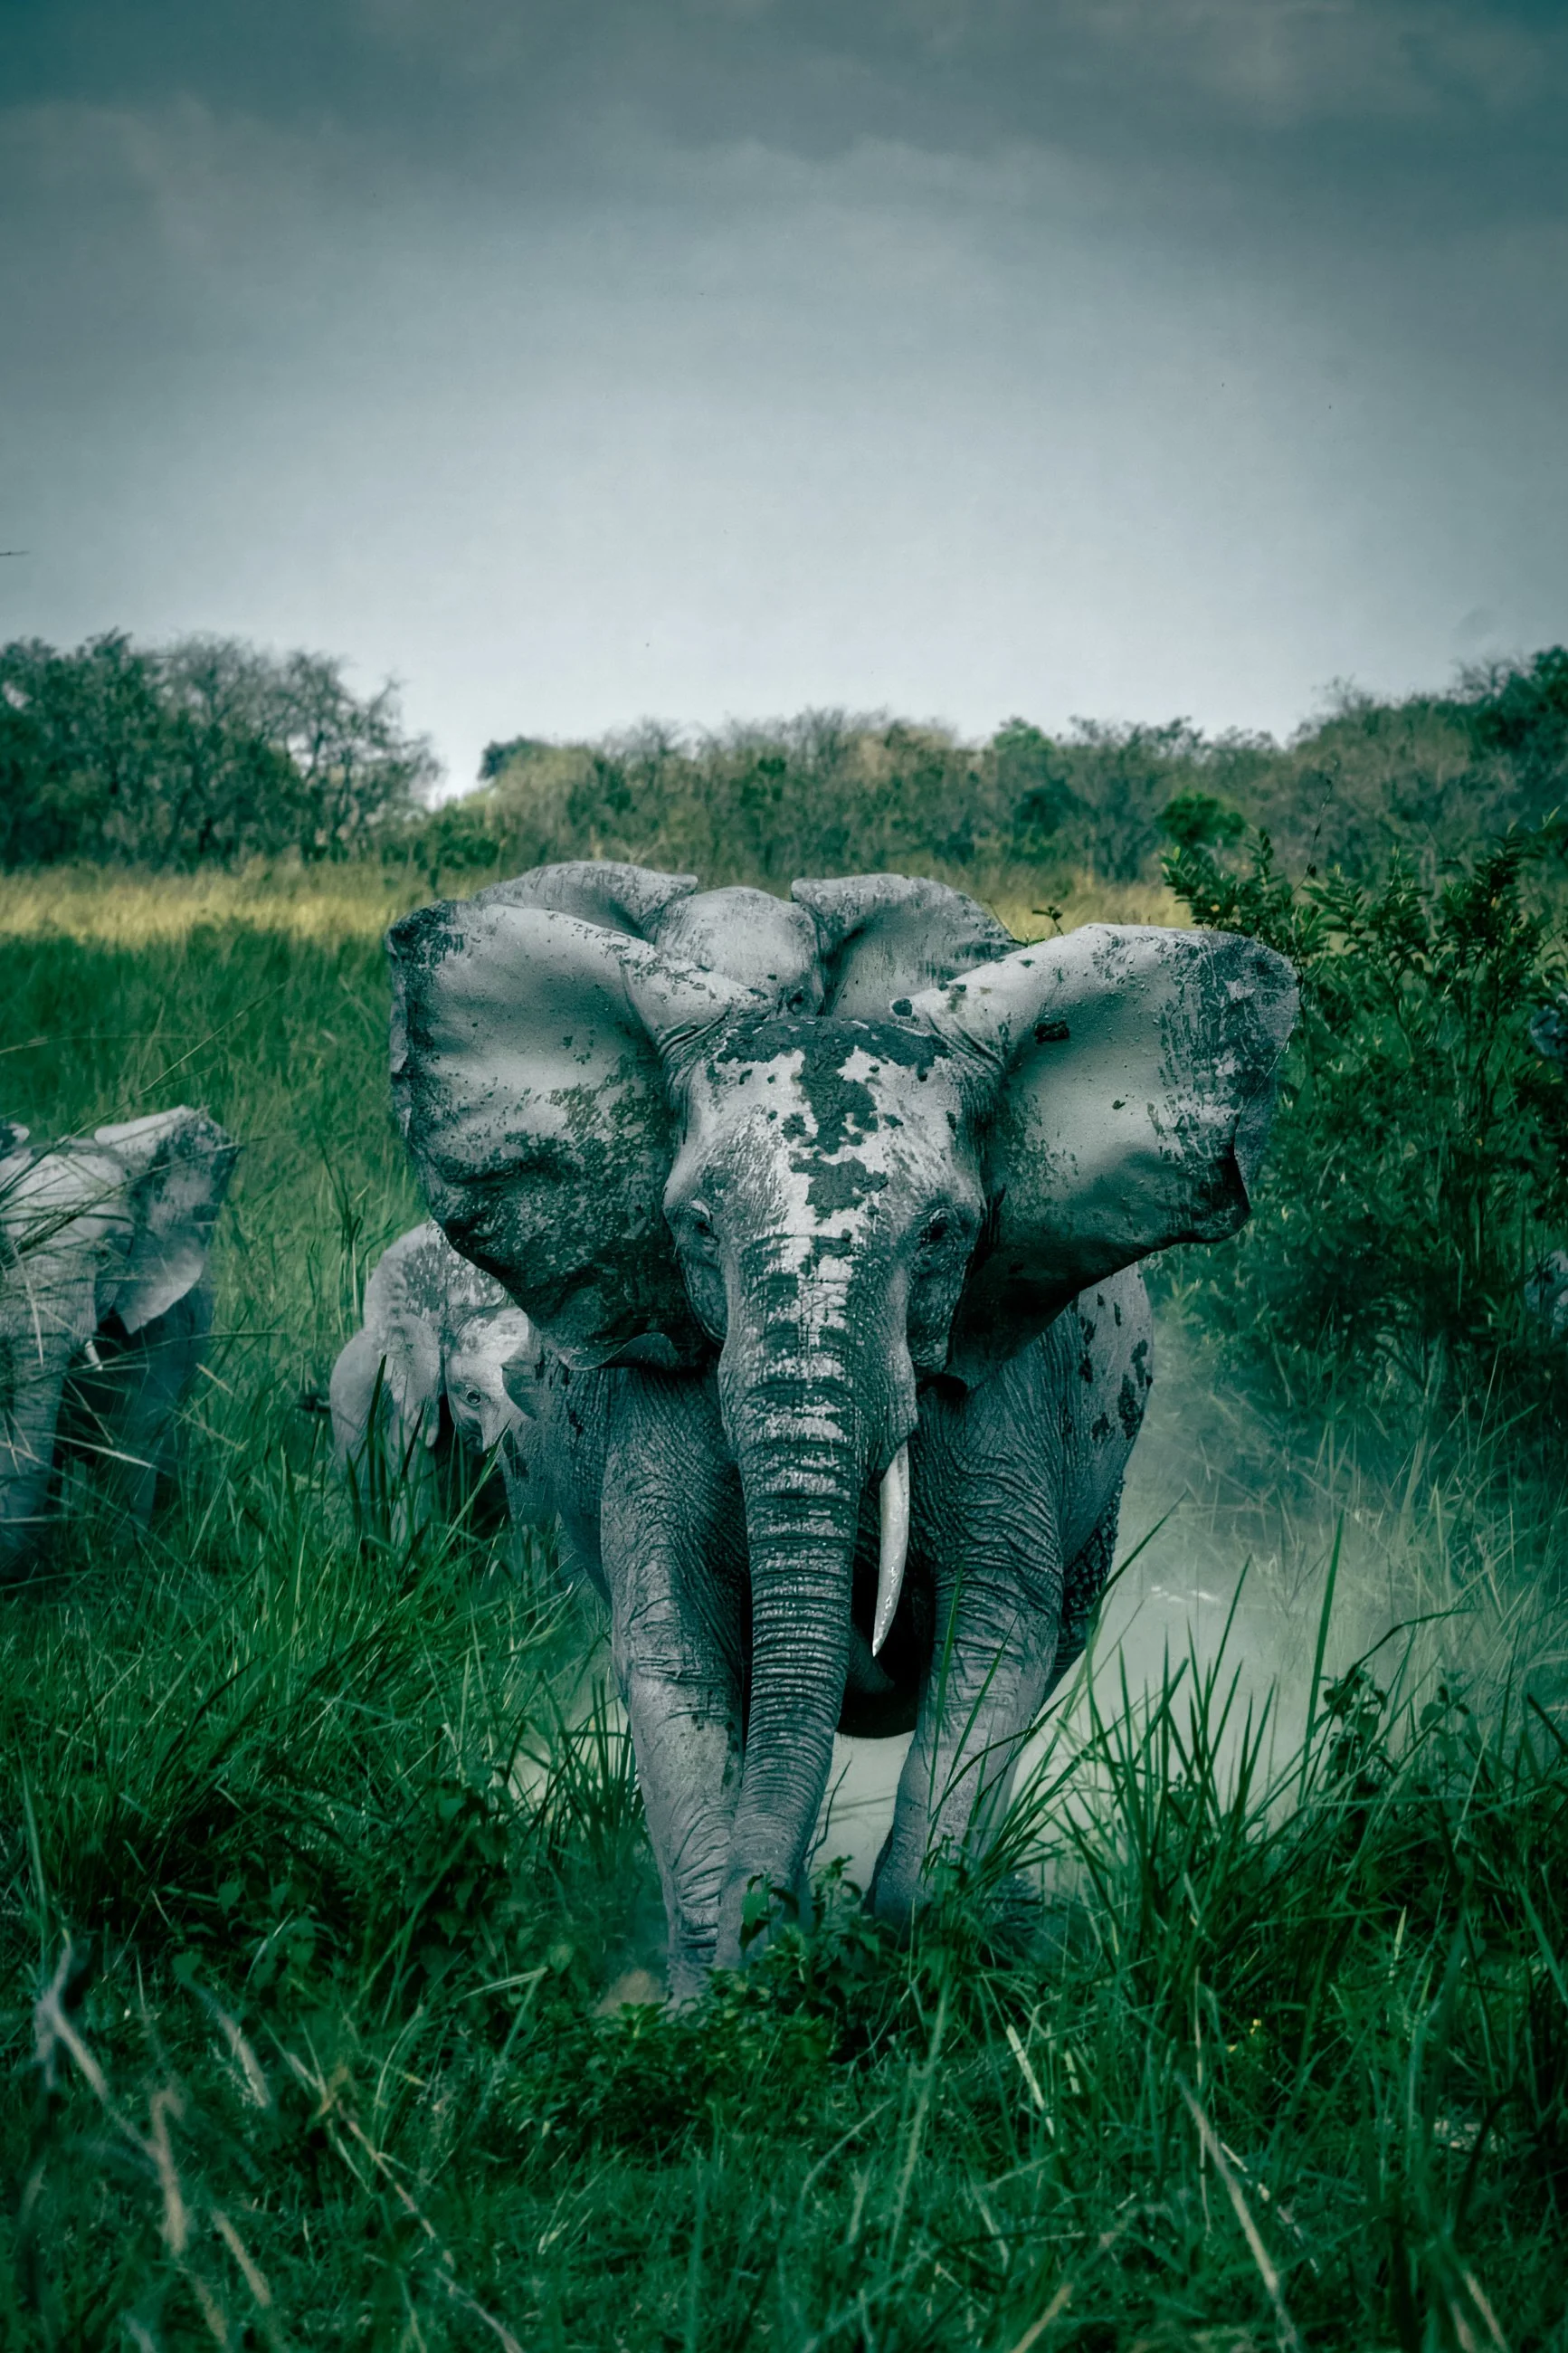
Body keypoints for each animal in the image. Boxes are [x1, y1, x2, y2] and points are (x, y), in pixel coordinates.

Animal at [387, 862, 1297, 1995]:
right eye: (694, 1226)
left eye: (943, 1231)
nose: (780, 1929)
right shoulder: (662, 1369)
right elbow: (674, 1633)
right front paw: (709, 1987)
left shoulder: (998, 1387)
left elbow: (997, 1626)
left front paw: (912, 1952)